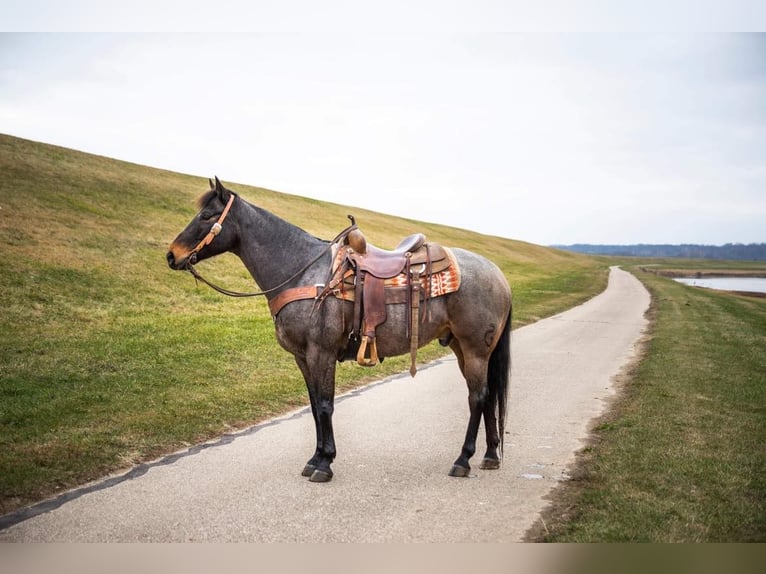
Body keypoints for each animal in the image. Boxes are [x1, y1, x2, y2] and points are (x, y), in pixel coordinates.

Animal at [168, 178, 516, 484]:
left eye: (206, 216)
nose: (172, 255)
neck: (304, 271)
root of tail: (498, 275)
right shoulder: (302, 358)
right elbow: (313, 406)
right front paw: (315, 459)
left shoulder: (320, 352)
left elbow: (325, 405)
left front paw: (324, 464)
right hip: (462, 348)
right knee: (487, 396)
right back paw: (490, 456)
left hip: (474, 348)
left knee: (477, 397)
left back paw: (463, 460)